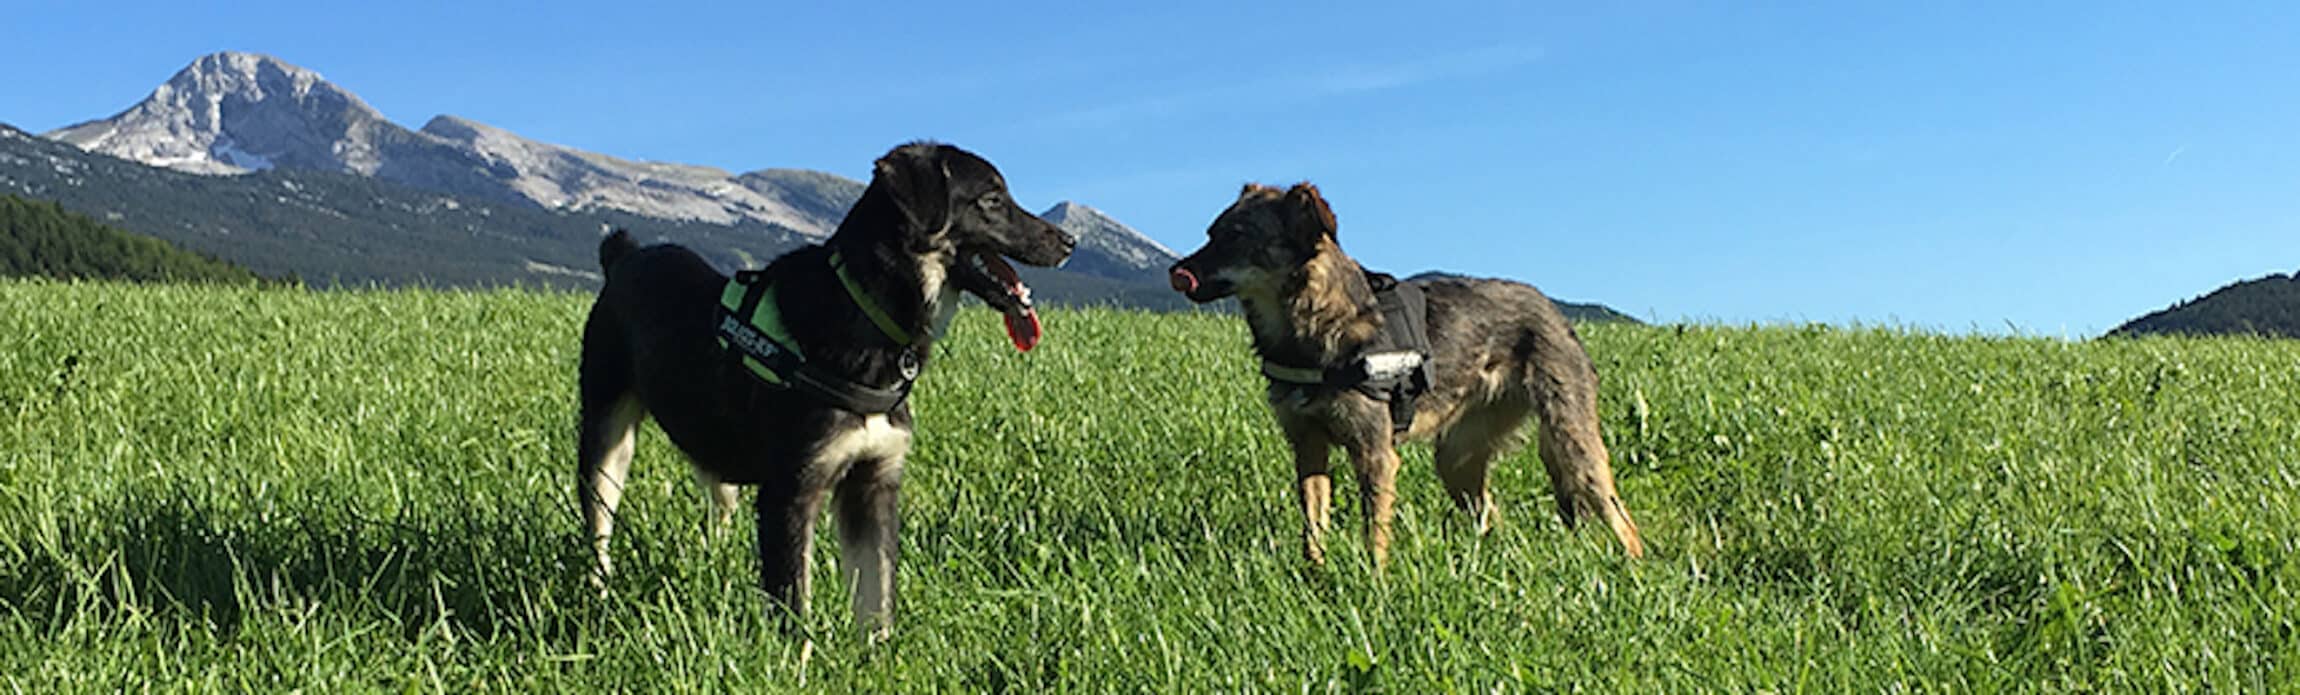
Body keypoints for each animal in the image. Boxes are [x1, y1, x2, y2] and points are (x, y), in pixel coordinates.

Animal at [1177, 182, 1646, 563]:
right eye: (1210, 233)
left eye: (1236, 237)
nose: (1177, 271)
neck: (1310, 328)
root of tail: (1552, 310)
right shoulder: (1307, 446)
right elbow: (1312, 532)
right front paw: (1315, 583)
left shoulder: (1375, 452)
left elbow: (1374, 536)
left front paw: (1373, 590)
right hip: (1457, 459)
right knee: (1493, 517)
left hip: (1572, 443)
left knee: (1621, 519)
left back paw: (1632, 572)